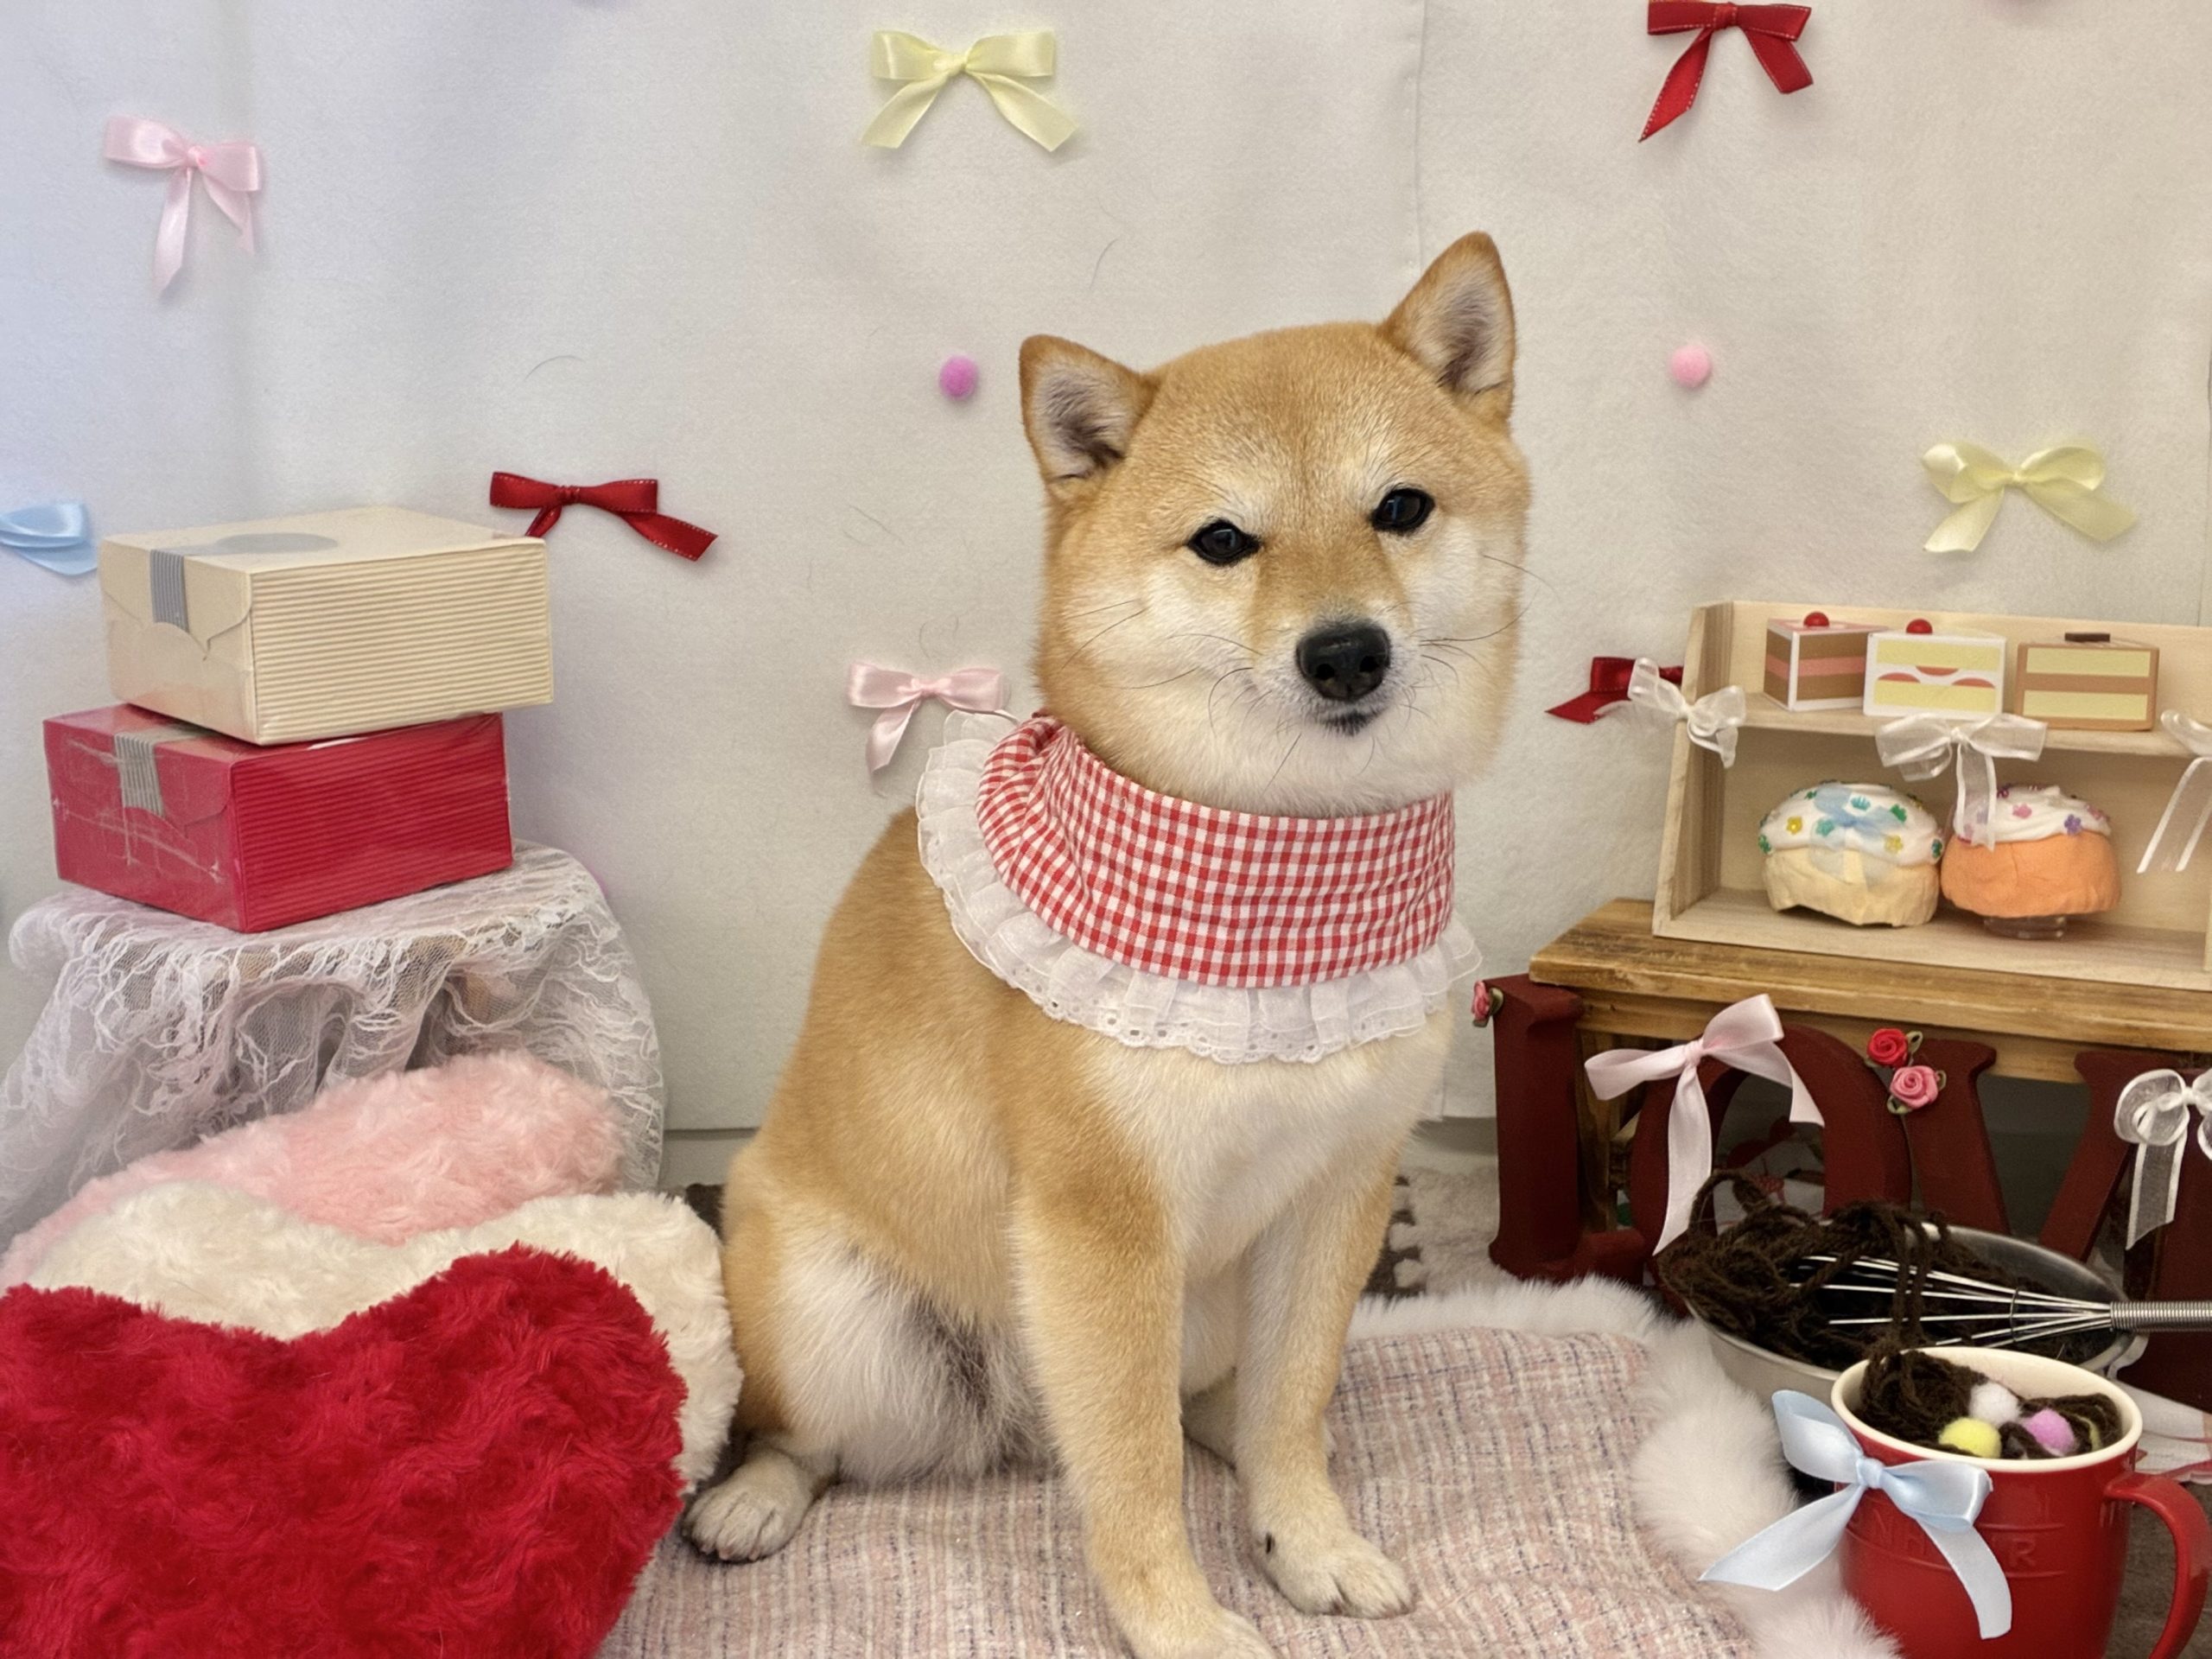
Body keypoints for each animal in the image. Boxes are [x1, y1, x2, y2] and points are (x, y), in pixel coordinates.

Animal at [688, 232, 1530, 1659]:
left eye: (1402, 509)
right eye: (1224, 542)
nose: (1345, 652)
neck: (1287, 892)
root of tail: (1008, 1424)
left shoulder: (1338, 1193)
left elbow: (1291, 1409)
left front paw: (1306, 1541)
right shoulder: (1105, 1224)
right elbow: (1133, 1473)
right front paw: (1184, 1625)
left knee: (1222, 1410)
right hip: (832, 1316)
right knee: (807, 1438)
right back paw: (750, 1500)